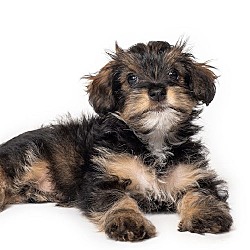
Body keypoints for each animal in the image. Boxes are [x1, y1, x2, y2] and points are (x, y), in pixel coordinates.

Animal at [0, 40, 232, 240]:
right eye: (131, 78)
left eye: (174, 74)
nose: (157, 91)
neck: (154, 139)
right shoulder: (103, 179)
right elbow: (119, 199)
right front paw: (127, 221)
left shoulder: (194, 174)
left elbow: (200, 193)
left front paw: (206, 215)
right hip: (27, 157)